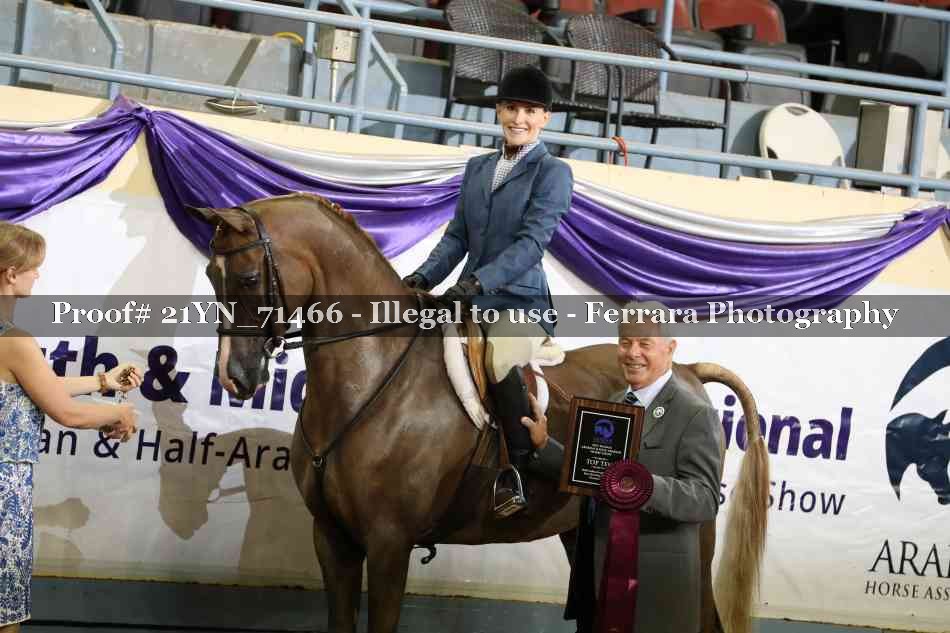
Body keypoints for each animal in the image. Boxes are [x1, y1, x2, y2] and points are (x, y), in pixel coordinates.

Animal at [187, 192, 769, 633]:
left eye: (245, 278)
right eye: (212, 276)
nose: (235, 376)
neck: (370, 380)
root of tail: (687, 369)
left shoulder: (389, 542)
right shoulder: (332, 539)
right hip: (584, 538)